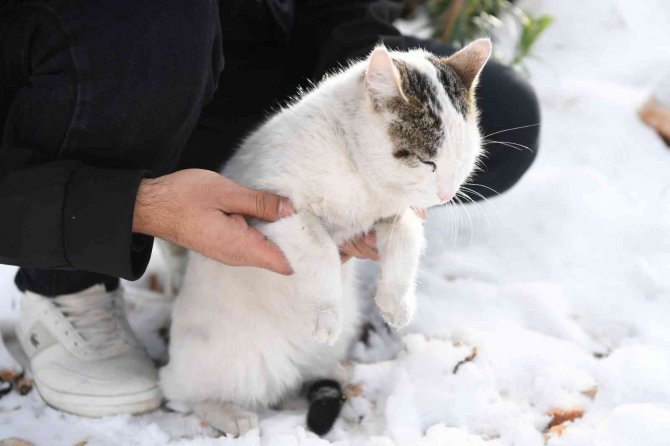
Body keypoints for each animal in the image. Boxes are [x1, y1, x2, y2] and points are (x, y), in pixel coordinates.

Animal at [159, 37, 490, 436]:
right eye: (427, 161)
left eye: (464, 156)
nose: (446, 193)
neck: (363, 182)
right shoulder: (282, 211)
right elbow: (320, 251)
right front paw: (327, 314)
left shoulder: (397, 214)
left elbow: (407, 240)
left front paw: (396, 302)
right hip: (221, 361)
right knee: (179, 392)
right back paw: (229, 413)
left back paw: (336, 370)